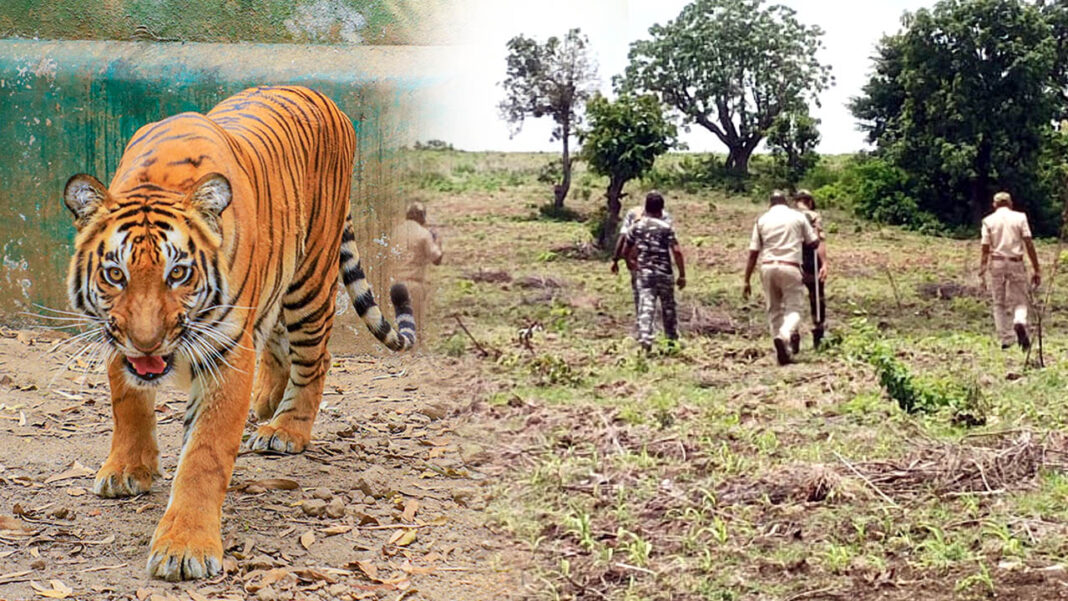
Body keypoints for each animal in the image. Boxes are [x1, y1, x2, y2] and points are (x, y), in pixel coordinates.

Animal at [61, 85, 415, 581]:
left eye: (178, 273)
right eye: (115, 274)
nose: (147, 343)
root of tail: (324, 96)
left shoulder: (226, 352)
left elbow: (204, 455)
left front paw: (184, 548)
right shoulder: (114, 336)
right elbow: (128, 404)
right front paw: (128, 469)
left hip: (310, 280)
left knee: (316, 358)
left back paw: (285, 429)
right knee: (277, 344)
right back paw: (266, 403)